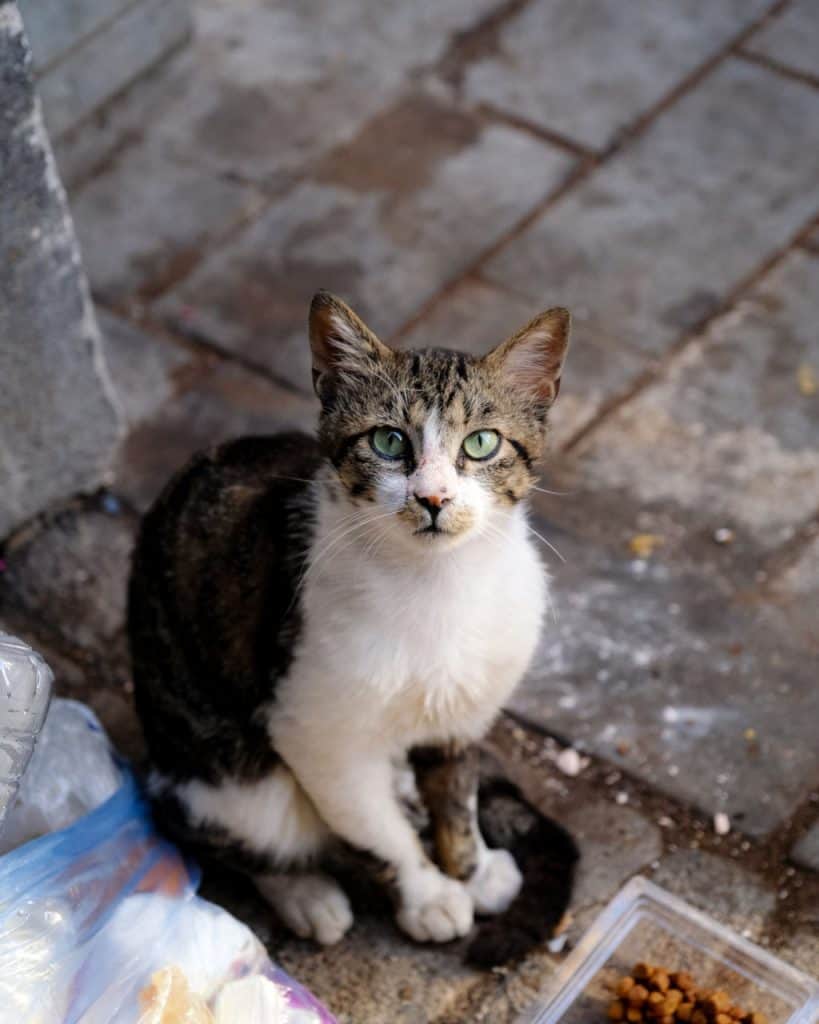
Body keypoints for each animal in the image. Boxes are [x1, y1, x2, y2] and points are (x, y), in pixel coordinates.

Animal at [129, 292, 569, 946]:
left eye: (482, 443)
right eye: (387, 441)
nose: (433, 498)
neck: (440, 583)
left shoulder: (466, 707)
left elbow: (457, 792)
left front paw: (474, 868)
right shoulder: (313, 729)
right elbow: (373, 830)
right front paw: (429, 896)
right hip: (226, 783)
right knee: (230, 833)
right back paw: (308, 896)